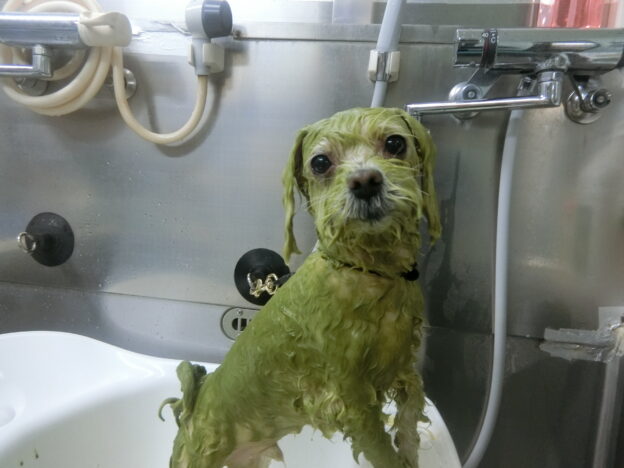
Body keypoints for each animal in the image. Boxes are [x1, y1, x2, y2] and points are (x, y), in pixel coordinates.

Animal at [161, 107, 441, 468]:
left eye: (394, 143)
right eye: (320, 162)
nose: (365, 181)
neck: (369, 274)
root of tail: (192, 407)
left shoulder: (403, 365)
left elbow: (412, 405)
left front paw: (408, 446)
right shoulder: (352, 402)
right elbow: (383, 454)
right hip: (196, 455)